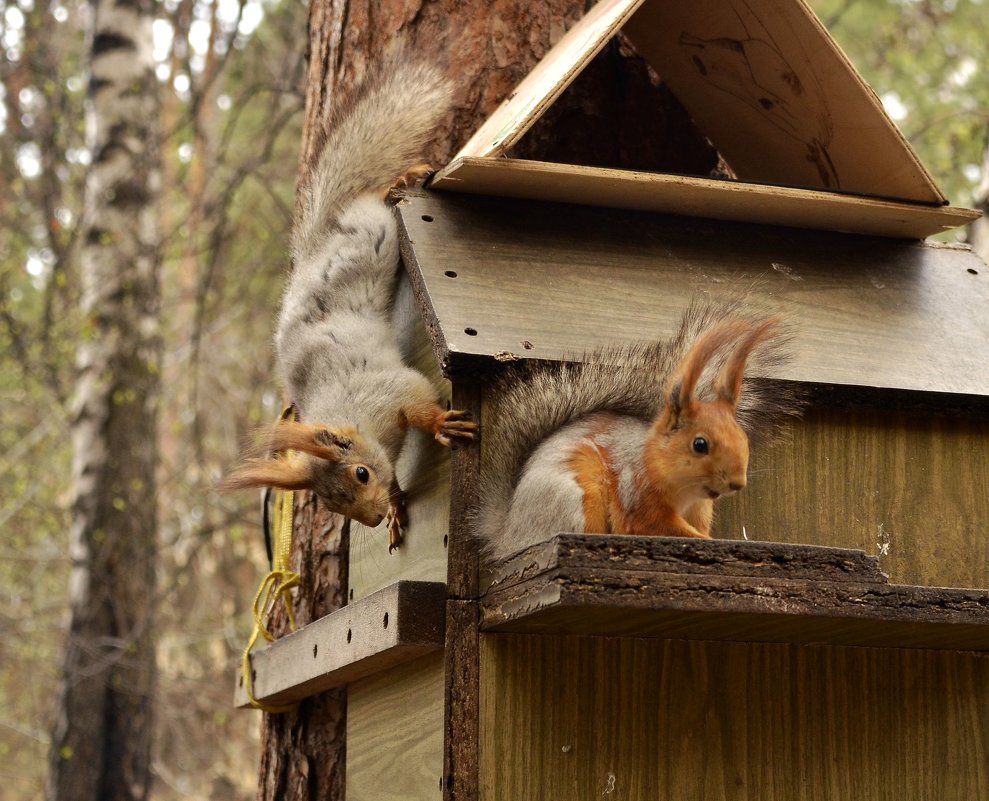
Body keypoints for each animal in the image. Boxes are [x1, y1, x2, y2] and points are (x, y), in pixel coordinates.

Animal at [226, 57, 472, 552]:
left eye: (360, 474)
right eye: (332, 503)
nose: (372, 520)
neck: (355, 420)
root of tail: (314, 252)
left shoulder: (391, 389)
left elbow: (420, 400)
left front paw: (442, 425)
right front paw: (396, 508)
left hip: (374, 237)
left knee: (372, 200)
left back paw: (401, 180)